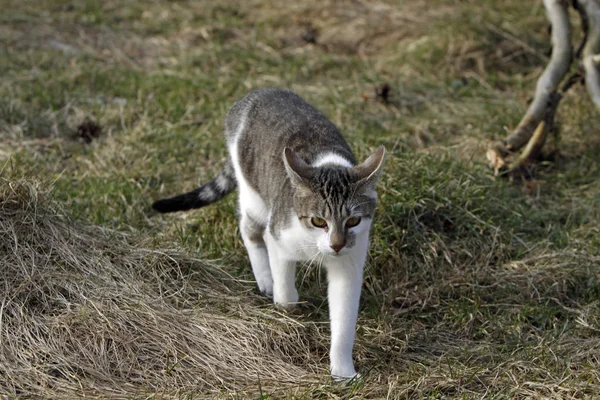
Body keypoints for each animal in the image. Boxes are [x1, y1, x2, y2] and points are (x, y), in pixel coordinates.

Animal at [151, 88, 384, 378]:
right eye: (318, 221)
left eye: (353, 220)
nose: (337, 245)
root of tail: (256, 93)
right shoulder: (279, 234)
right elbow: (284, 286)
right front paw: (284, 299)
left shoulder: (350, 263)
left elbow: (343, 319)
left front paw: (343, 373)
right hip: (254, 196)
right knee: (248, 228)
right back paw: (264, 278)